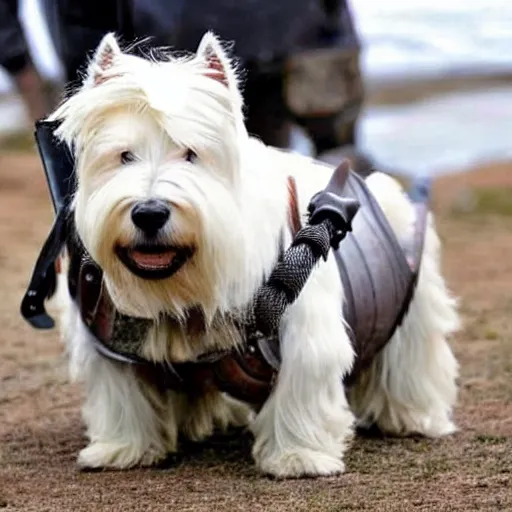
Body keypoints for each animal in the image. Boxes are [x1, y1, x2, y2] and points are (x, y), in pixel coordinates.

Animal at [50, 32, 460, 478]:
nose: (149, 213)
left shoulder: (303, 330)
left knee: (410, 359)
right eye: (124, 155)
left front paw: (298, 457)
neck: (187, 282)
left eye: (191, 153)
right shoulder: (112, 346)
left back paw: (413, 418)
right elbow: (122, 395)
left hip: (411, 304)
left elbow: (300, 388)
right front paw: (121, 449)